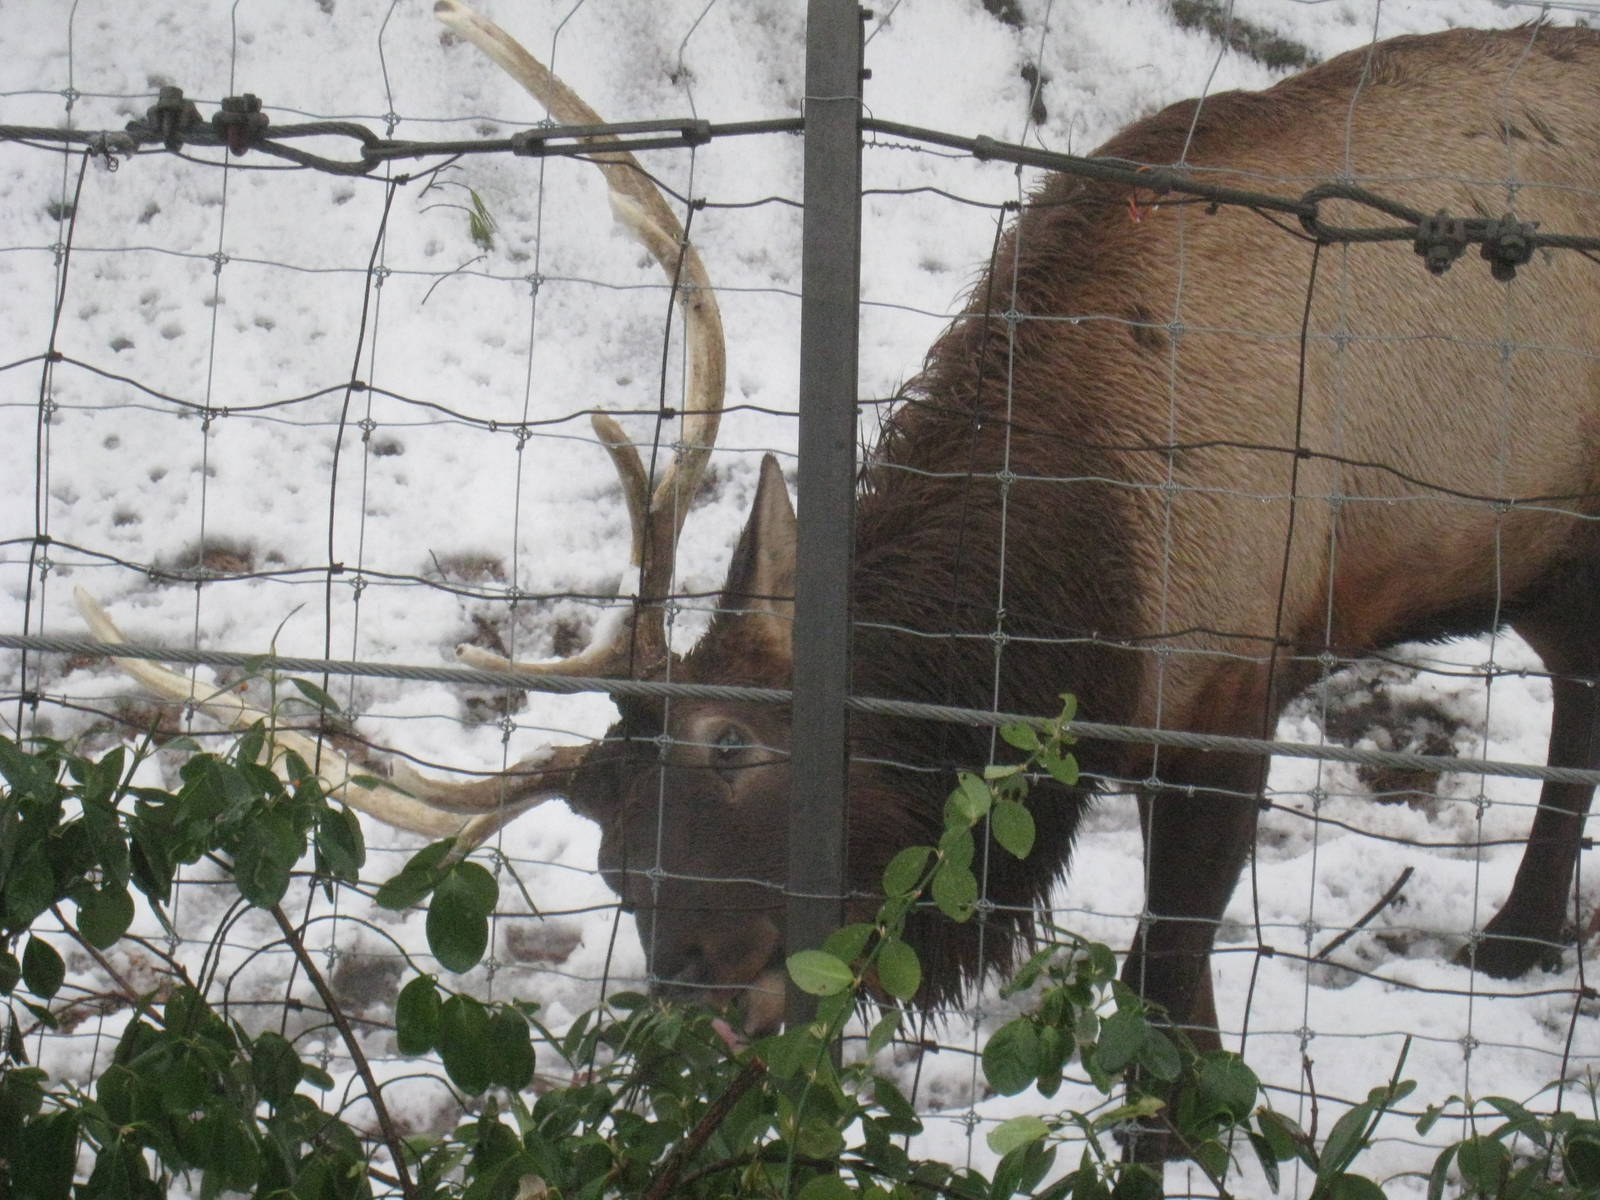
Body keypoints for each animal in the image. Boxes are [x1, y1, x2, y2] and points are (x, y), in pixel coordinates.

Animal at [77, 5, 1600, 1090]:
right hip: (1546, 552)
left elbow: (1169, 1018)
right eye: (612, 866)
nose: (701, 982)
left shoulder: (1233, 676)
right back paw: (1520, 942)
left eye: (736, 749)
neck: (1076, 584)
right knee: (1578, 696)